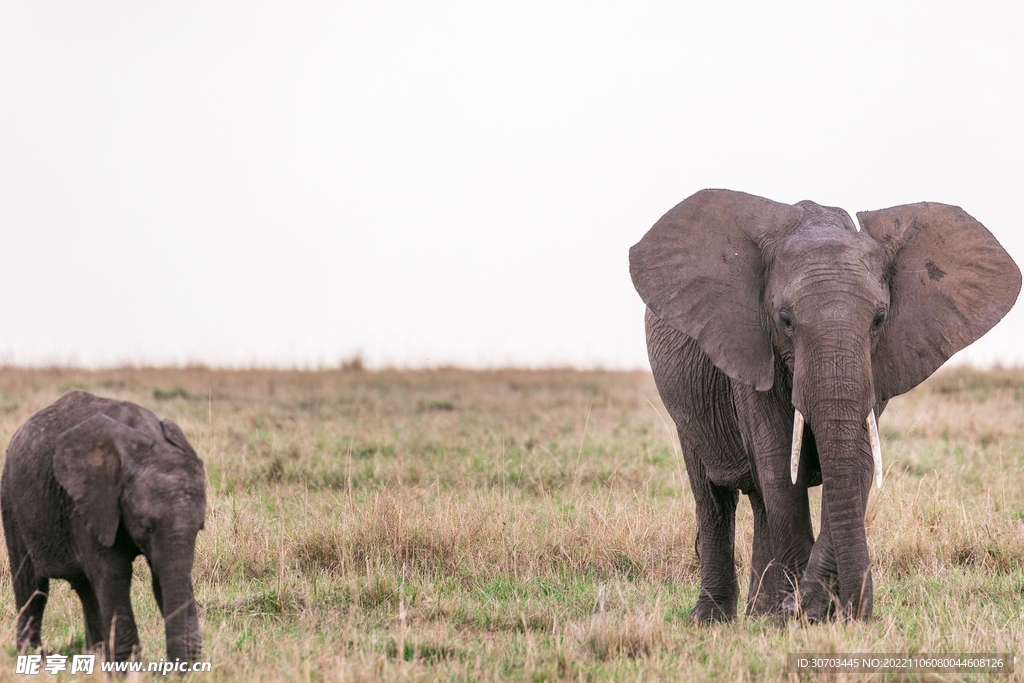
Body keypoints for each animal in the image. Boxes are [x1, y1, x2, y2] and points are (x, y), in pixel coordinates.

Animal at [1, 389, 205, 663]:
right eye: (148, 527)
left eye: (199, 528)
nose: (182, 665)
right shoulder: (88, 503)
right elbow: (114, 574)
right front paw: (128, 667)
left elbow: (160, 575)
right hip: (12, 504)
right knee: (32, 587)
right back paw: (31, 658)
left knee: (86, 589)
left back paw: (94, 657)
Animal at [626, 189, 1019, 622]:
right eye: (785, 320)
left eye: (879, 319)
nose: (857, 613)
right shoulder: (751, 353)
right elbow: (781, 468)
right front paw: (799, 614)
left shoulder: (876, 366)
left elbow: (857, 463)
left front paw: (804, 611)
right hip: (687, 407)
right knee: (714, 498)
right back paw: (713, 619)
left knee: (759, 500)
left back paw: (760, 615)